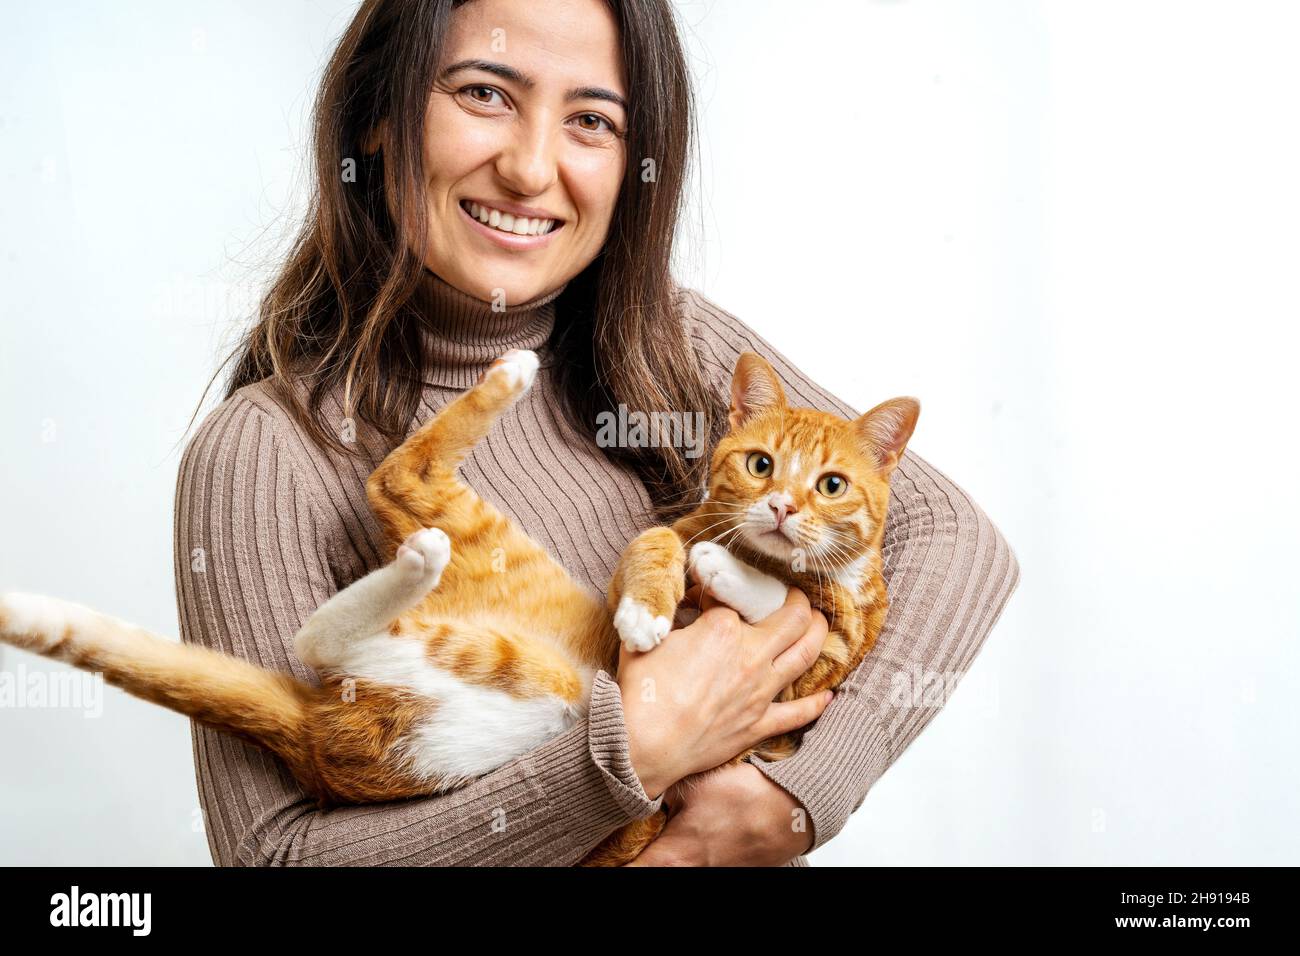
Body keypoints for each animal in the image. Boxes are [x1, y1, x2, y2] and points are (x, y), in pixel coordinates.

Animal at [2, 348, 915, 868]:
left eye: (831, 485)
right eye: (760, 465)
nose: (783, 508)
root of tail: (315, 735)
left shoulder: (830, 656)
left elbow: (795, 595)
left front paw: (742, 568)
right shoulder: (655, 544)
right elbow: (660, 548)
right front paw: (664, 600)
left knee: (331, 617)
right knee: (385, 499)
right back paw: (507, 378)